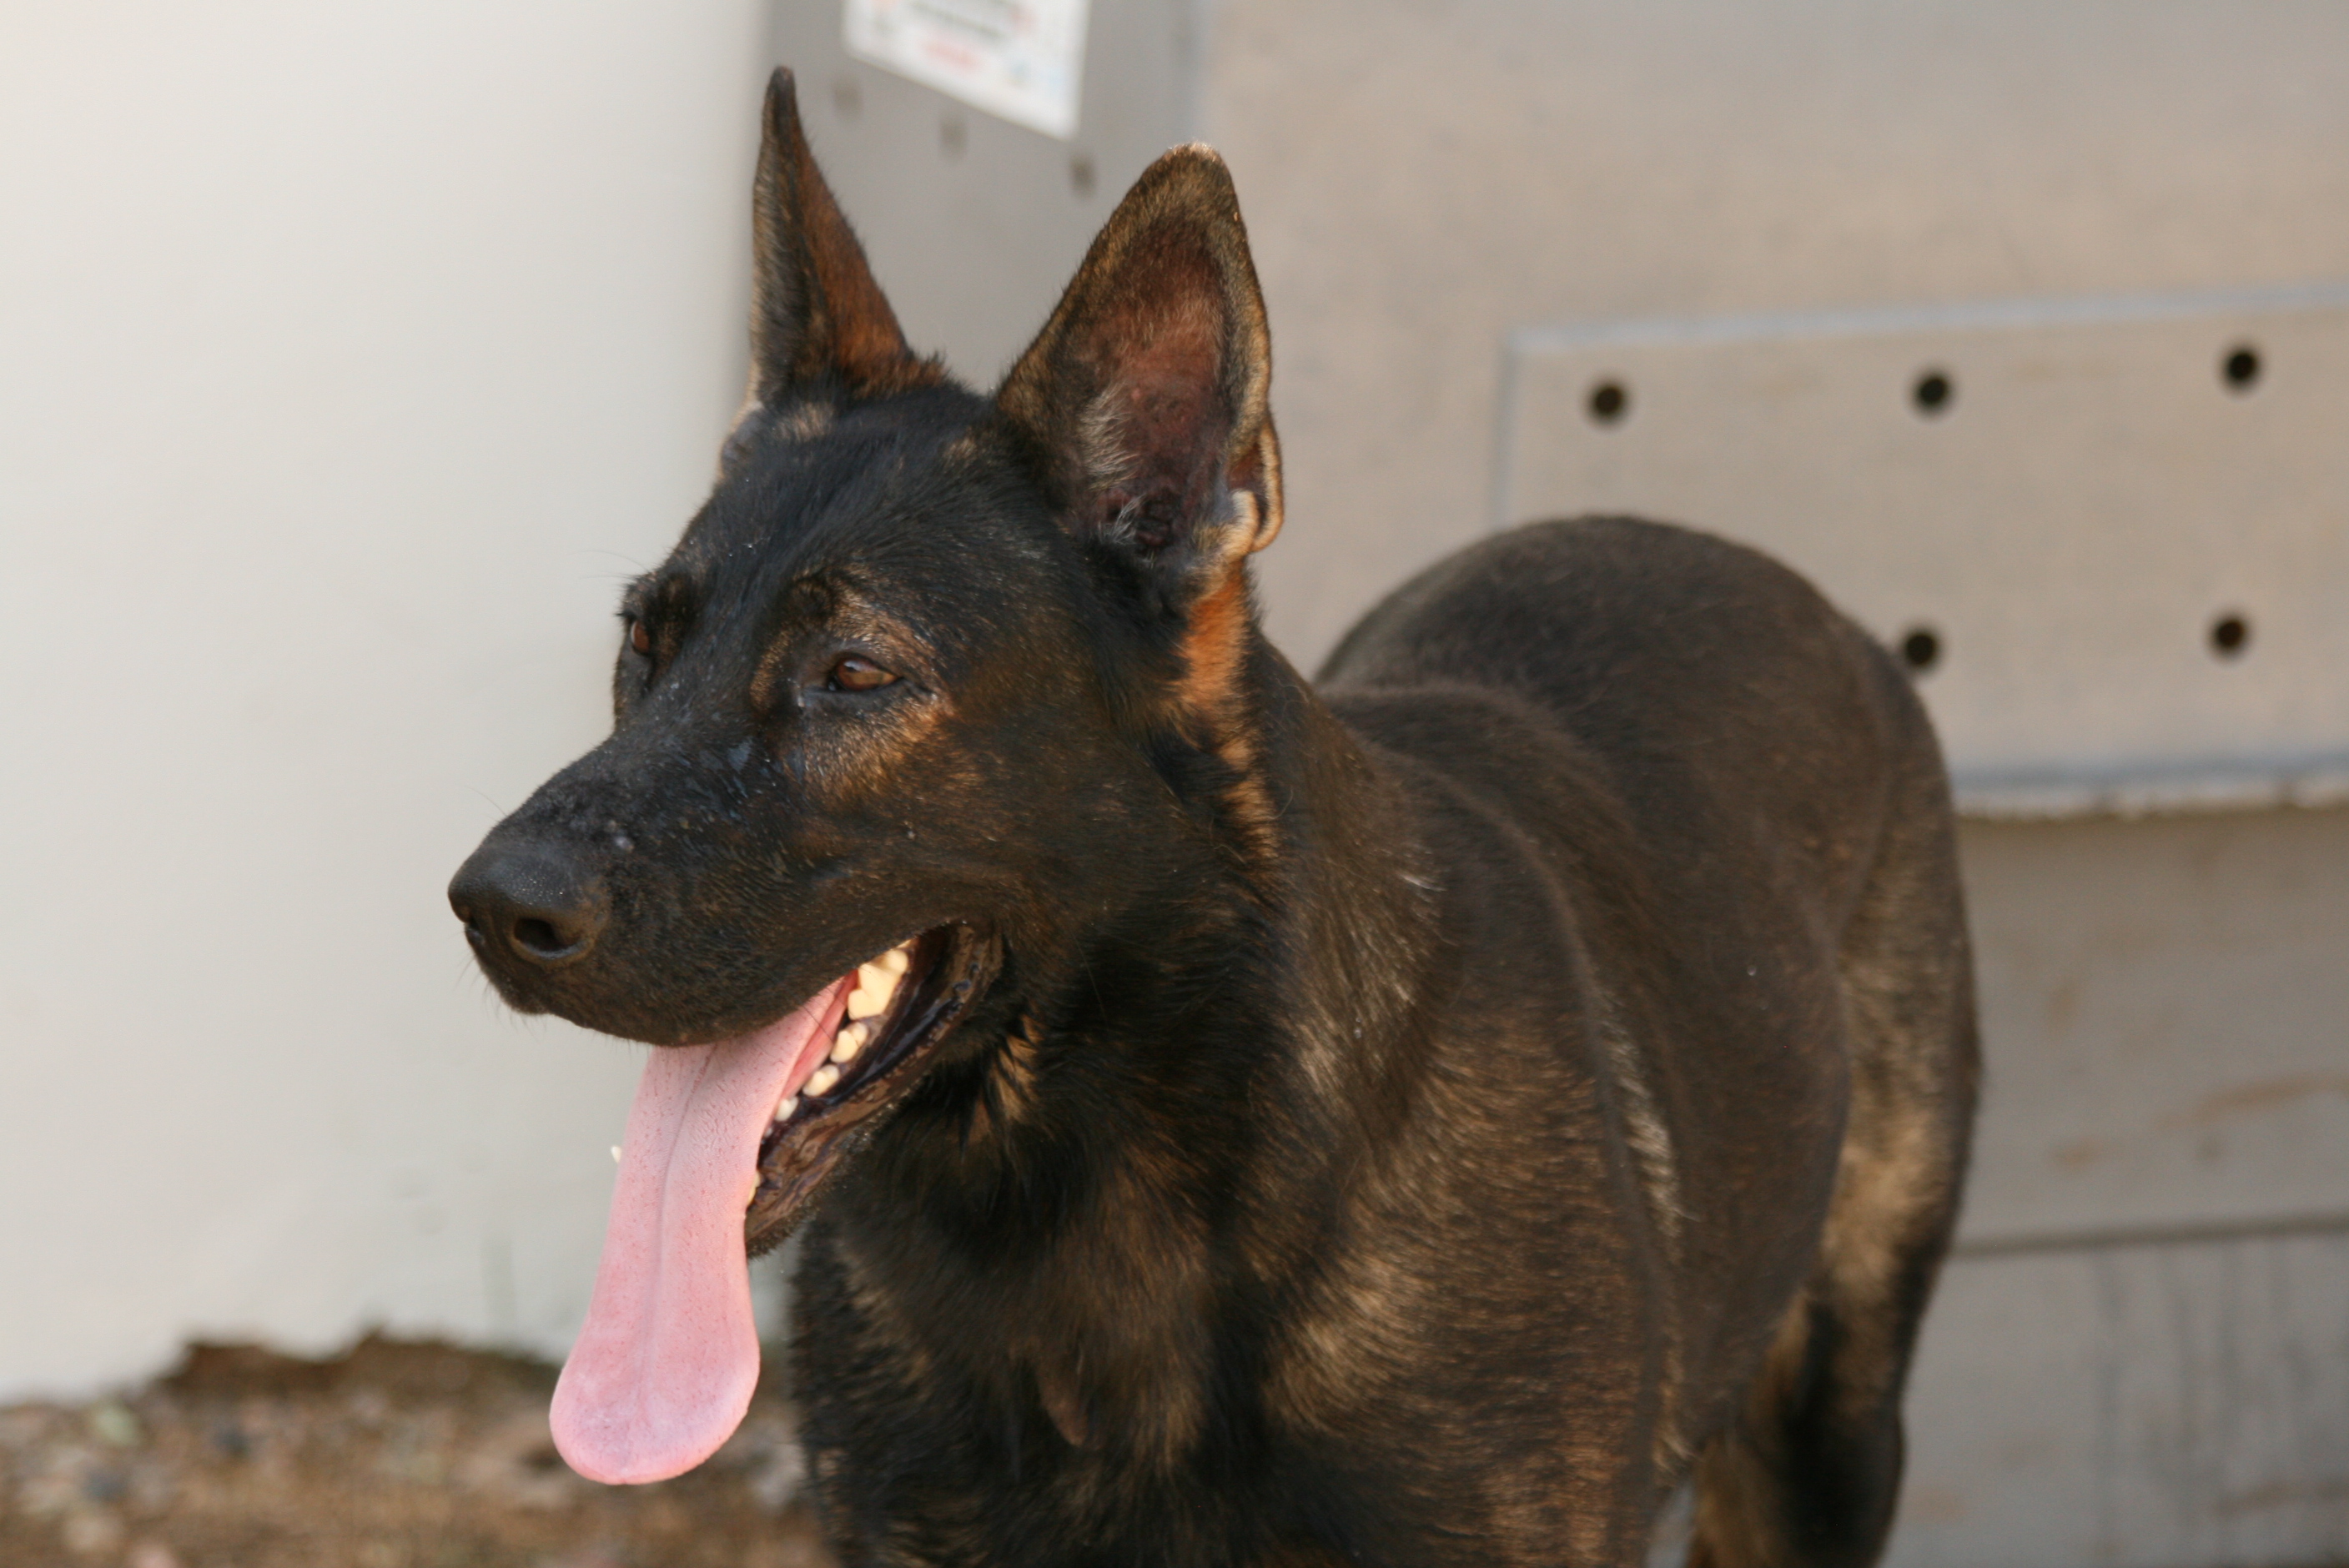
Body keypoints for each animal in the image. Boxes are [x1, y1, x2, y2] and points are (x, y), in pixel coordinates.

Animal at [449, 68, 1979, 1568]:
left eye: (857, 674)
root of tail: (1757, 571)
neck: (1078, 1230)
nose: (487, 907)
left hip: (1829, 1437)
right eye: (645, 643)